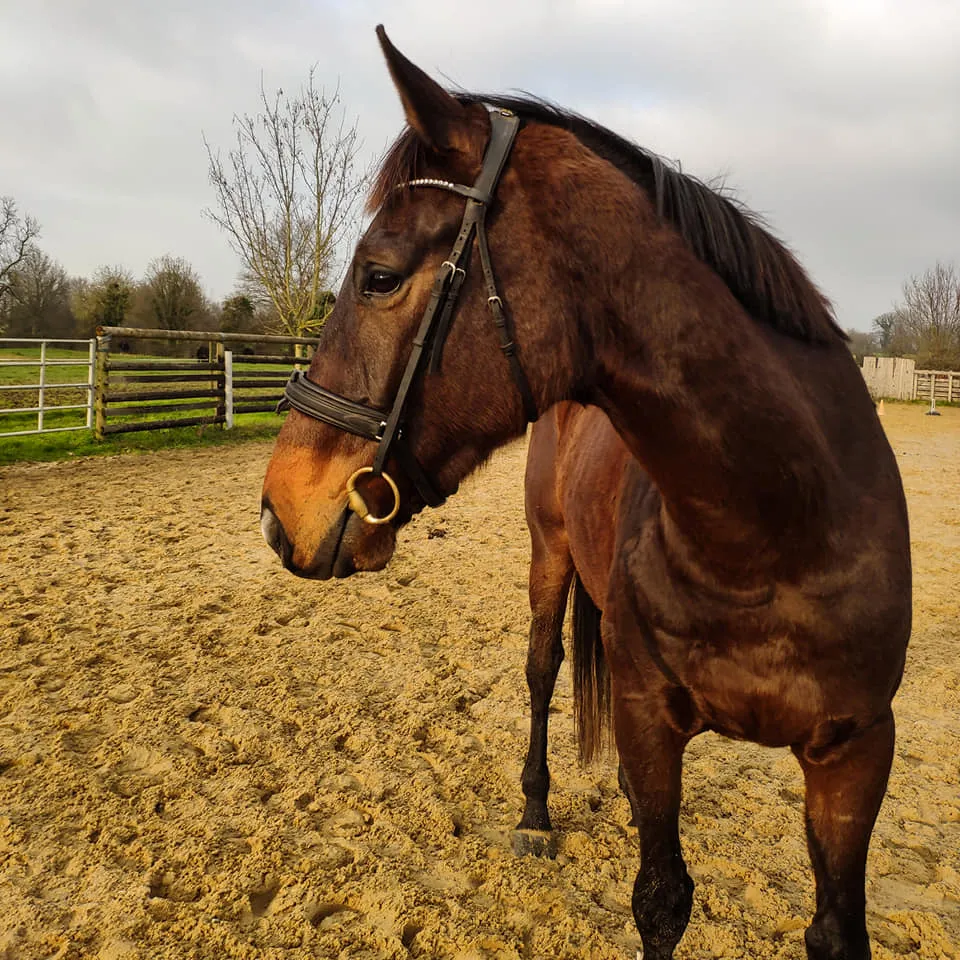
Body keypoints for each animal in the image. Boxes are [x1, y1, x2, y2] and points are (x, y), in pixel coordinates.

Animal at [260, 27, 911, 960]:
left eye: (379, 276)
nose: (281, 507)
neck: (772, 529)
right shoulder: (647, 717)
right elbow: (662, 898)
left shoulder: (856, 754)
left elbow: (833, 928)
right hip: (550, 553)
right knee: (542, 671)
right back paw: (535, 812)